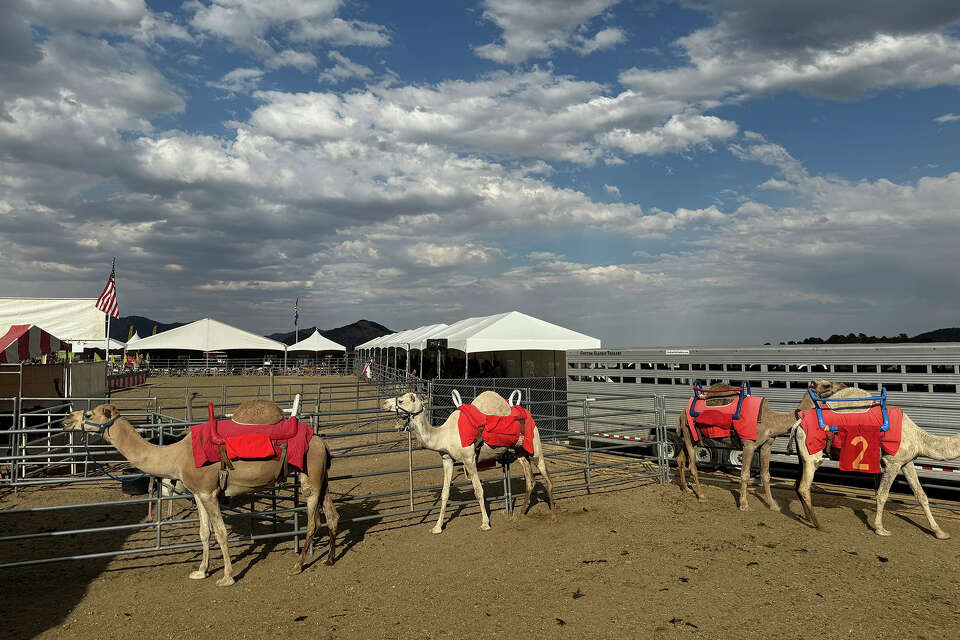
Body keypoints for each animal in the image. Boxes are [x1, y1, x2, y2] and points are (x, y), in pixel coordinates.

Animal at [63, 398, 339, 586]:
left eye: (89, 413)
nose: (66, 420)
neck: (176, 455)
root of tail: (321, 441)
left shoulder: (209, 492)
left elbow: (221, 533)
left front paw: (227, 577)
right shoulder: (197, 493)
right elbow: (204, 533)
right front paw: (200, 571)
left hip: (311, 473)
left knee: (314, 520)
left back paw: (298, 564)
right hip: (320, 474)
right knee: (332, 515)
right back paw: (329, 559)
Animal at [382, 390, 554, 533]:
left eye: (401, 400)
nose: (384, 403)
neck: (444, 435)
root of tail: (528, 414)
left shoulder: (469, 458)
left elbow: (478, 490)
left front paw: (485, 523)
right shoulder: (447, 459)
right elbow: (445, 493)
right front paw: (437, 527)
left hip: (535, 446)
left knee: (546, 475)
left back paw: (553, 512)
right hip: (520, 451)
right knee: (530, 479)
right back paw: (521, 514)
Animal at [676, 379, 845, 511]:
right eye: (827, 385)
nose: (843, 385)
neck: (771, 421)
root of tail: (682, 412)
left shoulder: (767, 445)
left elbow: (766, 475)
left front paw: (773, 505)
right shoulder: (749, 445)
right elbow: (745, 474)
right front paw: (744, 505)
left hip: (691, 437)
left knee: (681, 459)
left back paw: (686, 488)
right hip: (689, 432)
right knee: (692, 465)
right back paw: (701, 495)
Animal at [792, 386, 960, 539]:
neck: (919, 438)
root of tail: (798, 423)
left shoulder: (906, 462)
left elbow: (921, 495)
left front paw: (940, 532)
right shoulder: (893, 462)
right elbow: (882, 494)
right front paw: (880, 529)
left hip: (802, 454)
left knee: (798, 484)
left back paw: (807, 517)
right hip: (812, 453)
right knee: (804, 486)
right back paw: (819, 525)